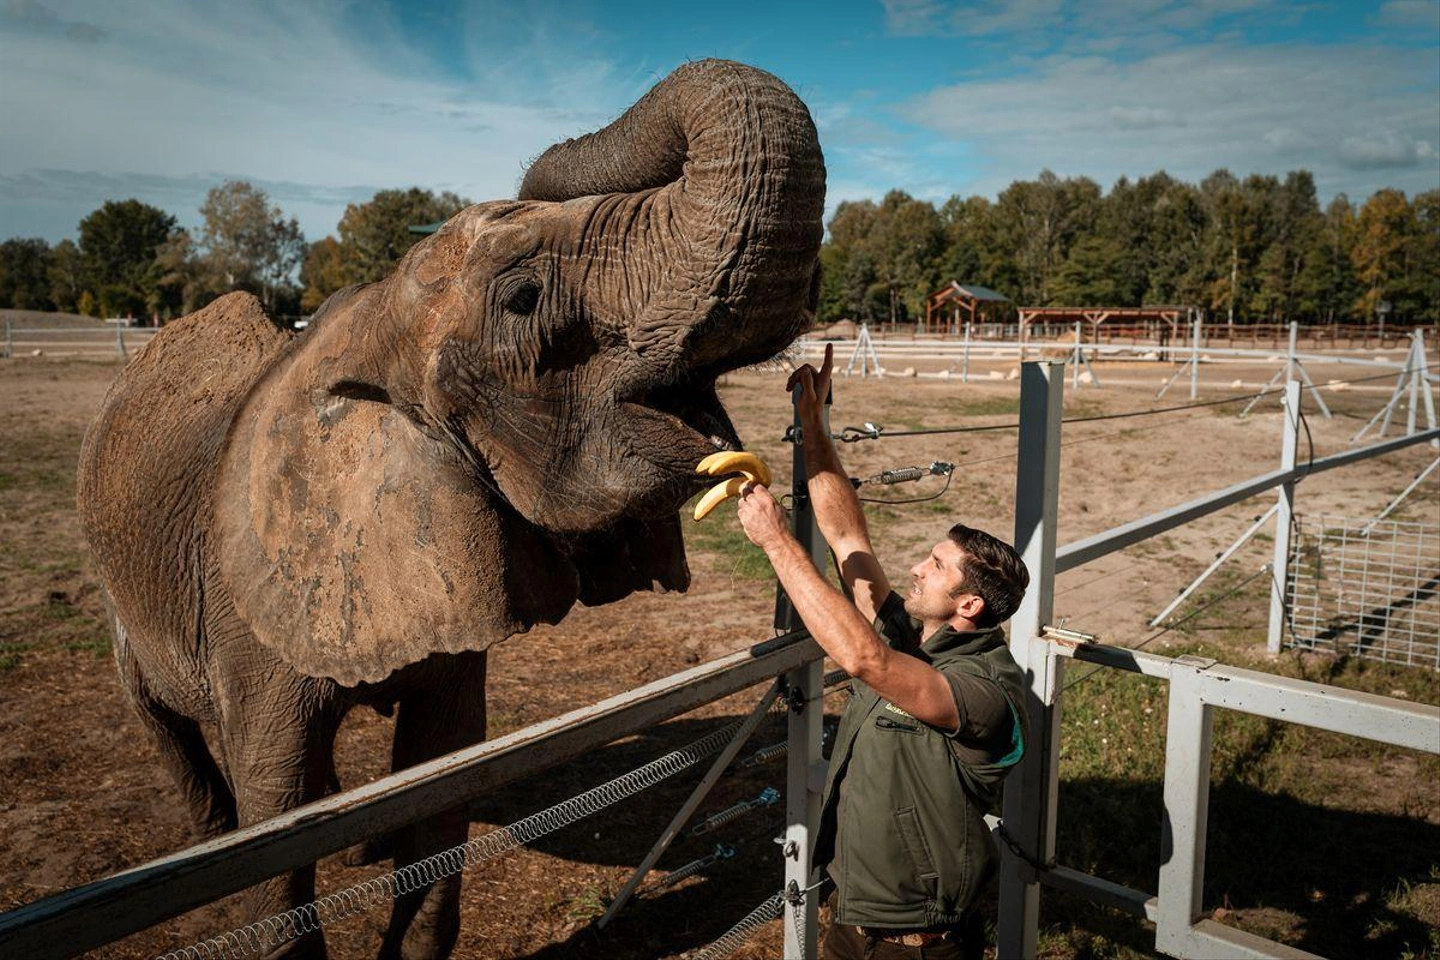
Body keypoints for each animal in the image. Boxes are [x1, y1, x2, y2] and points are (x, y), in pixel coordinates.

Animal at [76, 59, 824, 958]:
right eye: (524, 298)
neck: (365, 327)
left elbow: (445, 768)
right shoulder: (245, 597)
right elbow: (275, 801)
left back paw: (359, 845)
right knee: (158, 715)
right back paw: (215, 840)